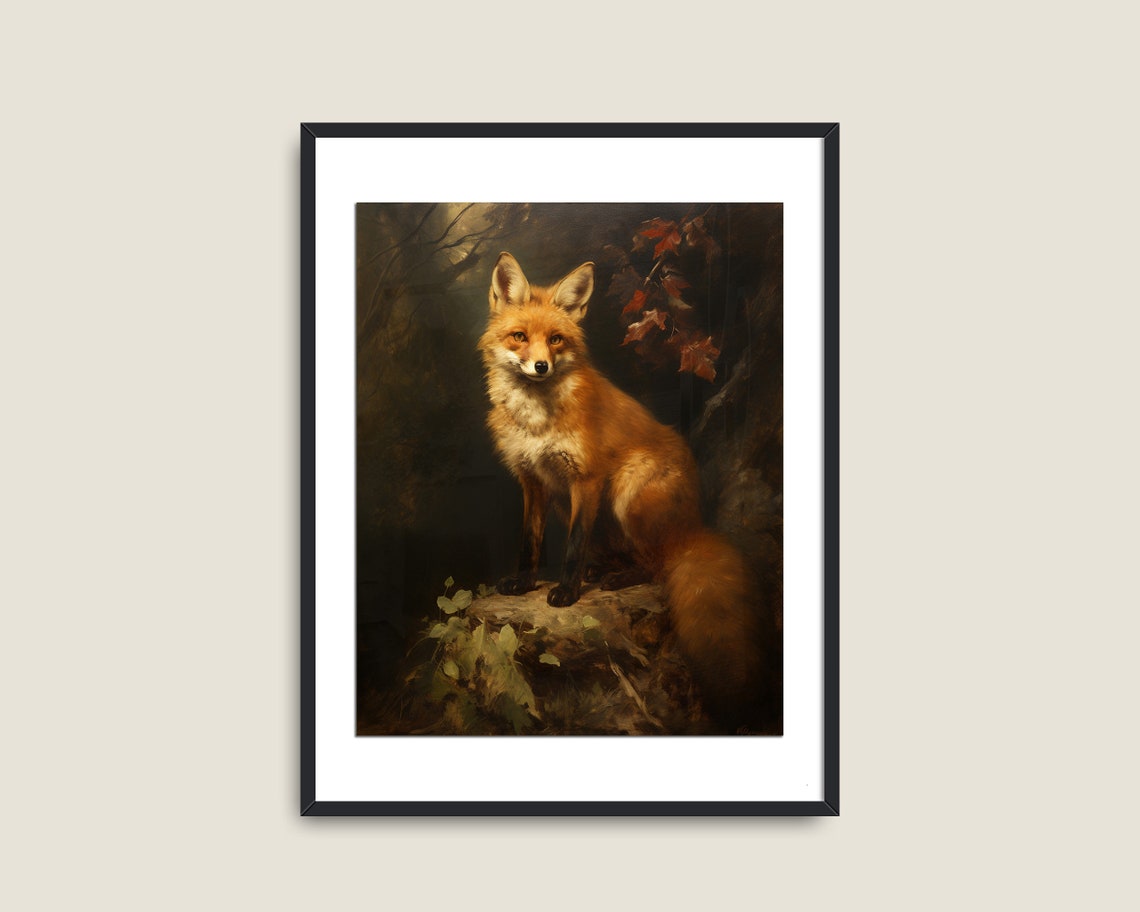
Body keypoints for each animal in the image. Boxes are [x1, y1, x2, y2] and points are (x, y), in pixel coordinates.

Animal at [480, 251, 768, 727]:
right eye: (519, 337)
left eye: (556, 340)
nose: (540, 366)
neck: (537, 419)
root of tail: (694, 525)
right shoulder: (533, 480)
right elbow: (530, 541)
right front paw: (525, 581)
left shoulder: (586, 478)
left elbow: (573, 547)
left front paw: (566, 592)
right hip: (577, 505)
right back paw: (604, 571)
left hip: (626, 495)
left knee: (659, 565)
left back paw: (618, 577)